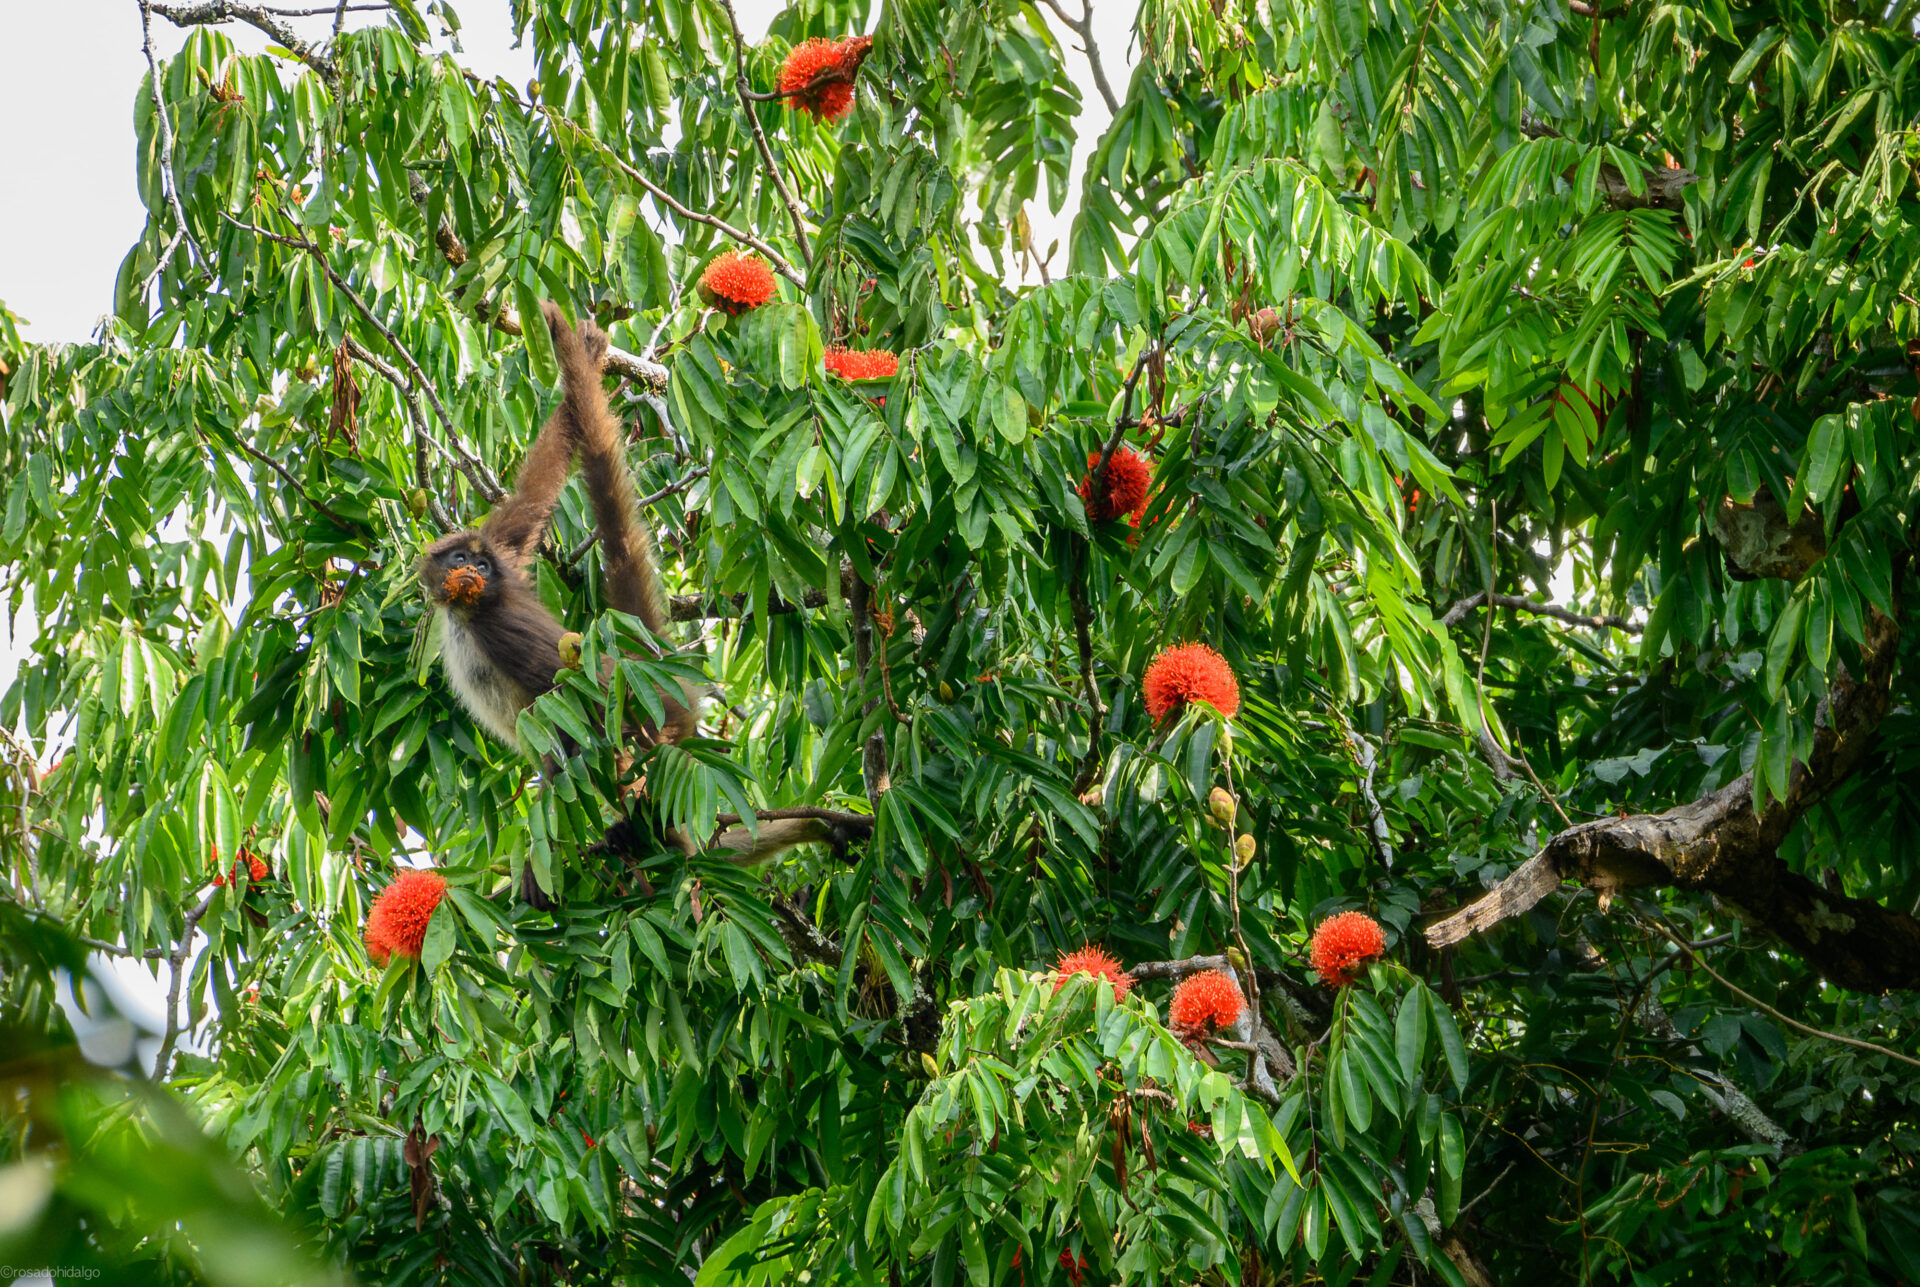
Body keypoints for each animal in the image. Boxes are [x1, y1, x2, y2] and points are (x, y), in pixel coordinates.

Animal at [419, 303, 870, 903]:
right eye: (460, 560)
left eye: (480, 566)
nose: (473, 571)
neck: (467, 614)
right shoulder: (508, 547)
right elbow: (535, 493)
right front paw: (585, 357)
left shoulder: (500, 618)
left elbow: (582, 696)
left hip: (663, 719)